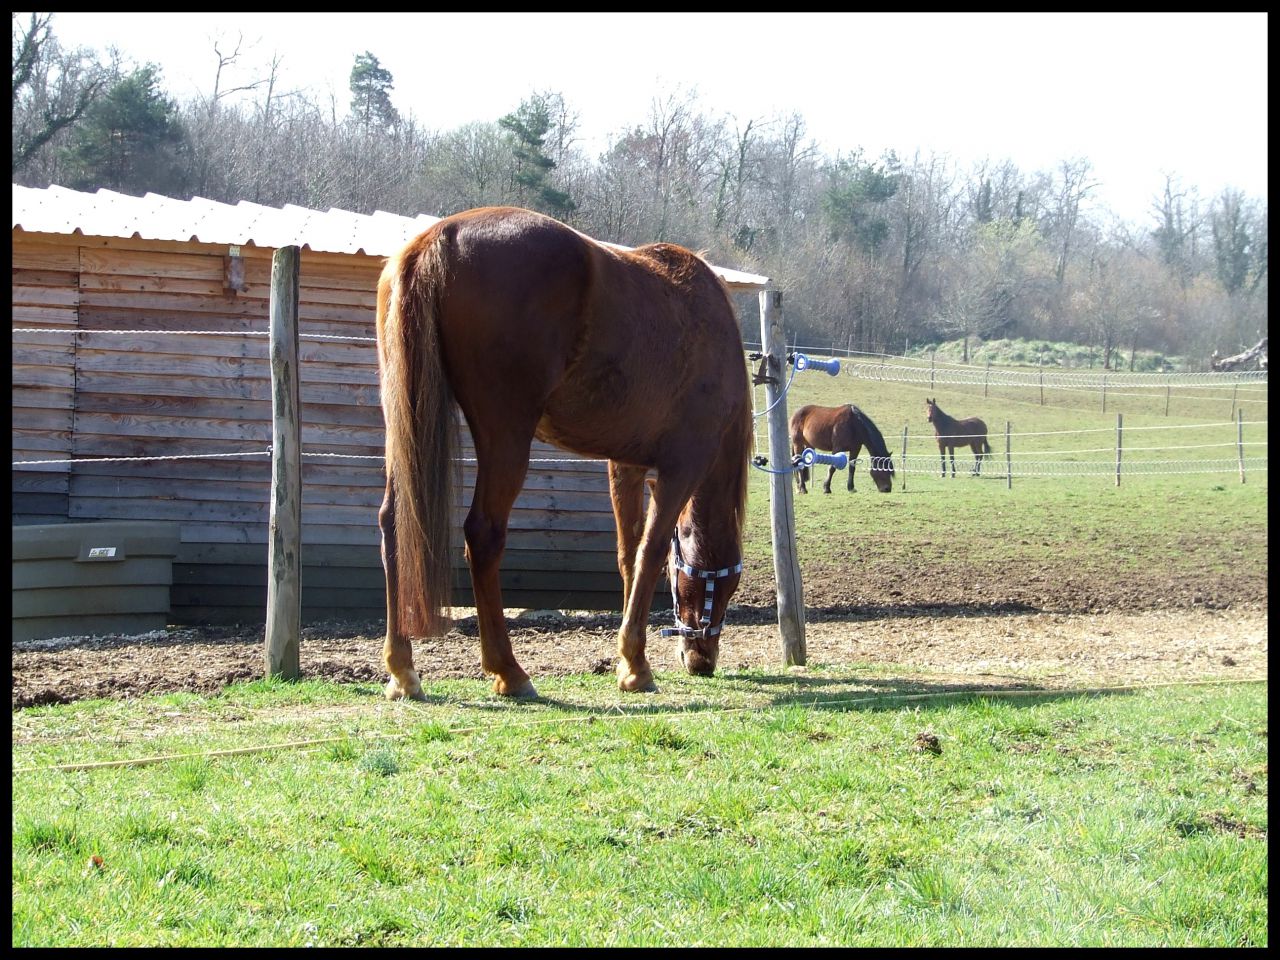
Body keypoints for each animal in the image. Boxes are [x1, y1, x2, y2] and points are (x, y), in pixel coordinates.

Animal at [376, 206, 752, 701]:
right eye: (724, 585)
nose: (702, 660)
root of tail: (440, 235)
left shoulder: (625, 465)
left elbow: (628, 555)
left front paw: (630, 658)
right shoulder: (681, 467)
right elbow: (651, 552)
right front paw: (636, 665)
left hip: (406, 421)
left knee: (394, 525)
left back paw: (403, 669)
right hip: (506, 435)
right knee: (484, 533)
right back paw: (509, 670)